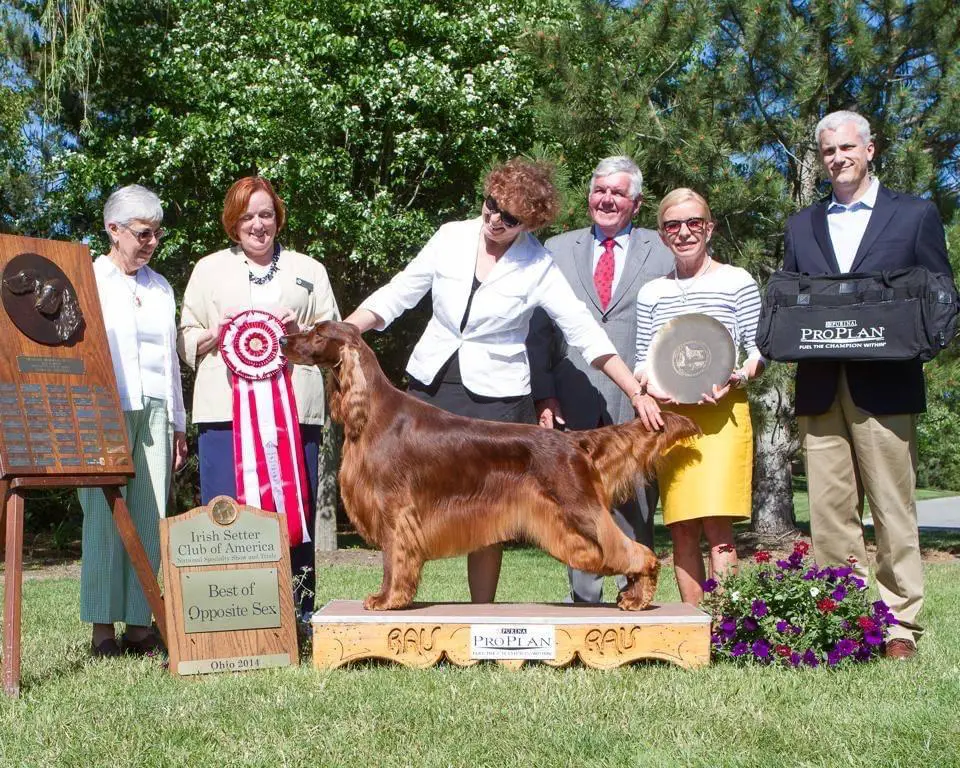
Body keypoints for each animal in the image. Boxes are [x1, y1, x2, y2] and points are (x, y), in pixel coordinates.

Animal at [280, 322, 696, 612]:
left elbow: (393, 559)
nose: (283, 340)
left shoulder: (396, 510)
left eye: (317, 333)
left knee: (633, 550)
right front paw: (388, 597)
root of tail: (574, 440)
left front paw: (388, 600)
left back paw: (638, 597)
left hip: (581, 511)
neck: (371, 413)